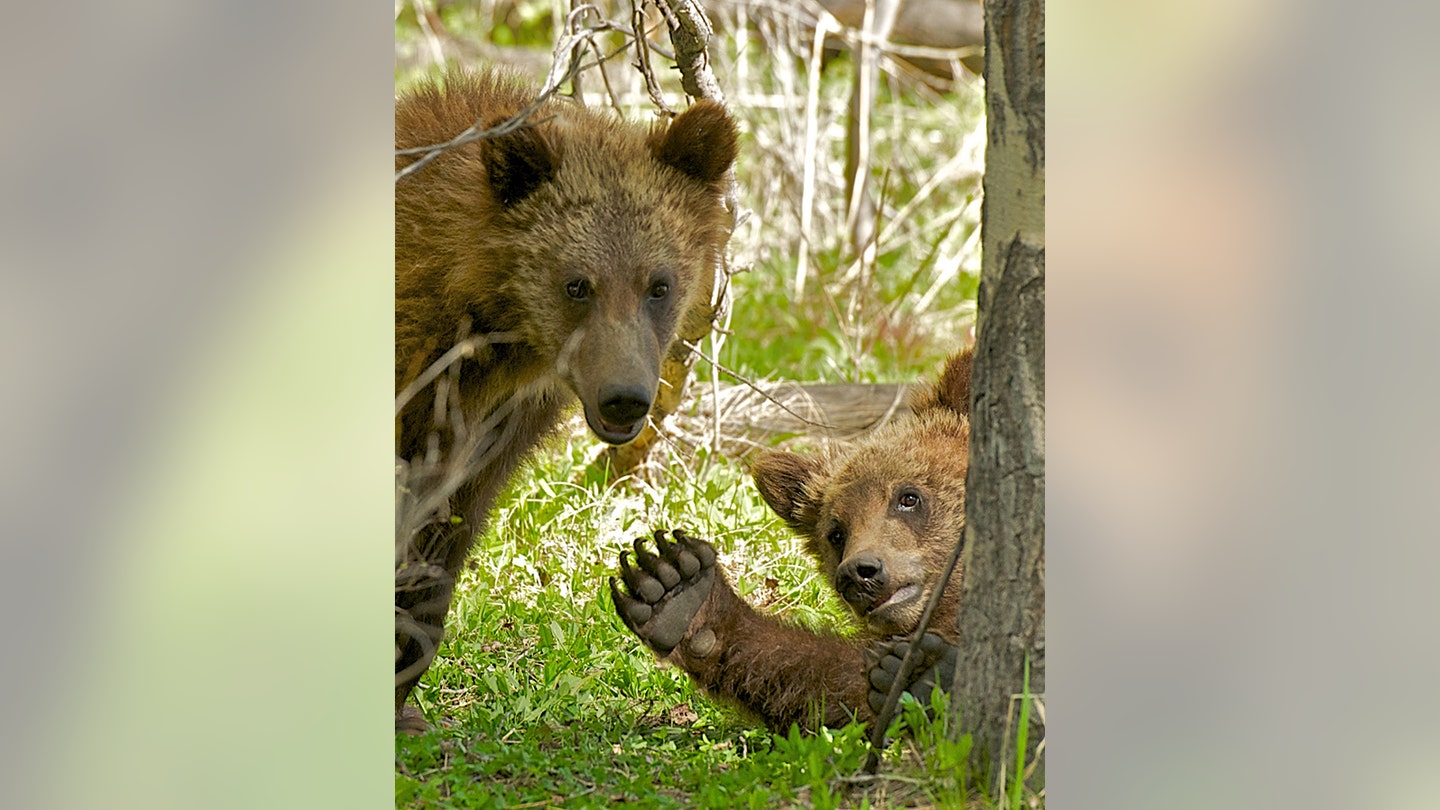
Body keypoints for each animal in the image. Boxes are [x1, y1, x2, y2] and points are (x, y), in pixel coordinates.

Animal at [607, 347, 967, 726]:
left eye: (908, 497)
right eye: (836, 533)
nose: (860, 572)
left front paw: (926, 673)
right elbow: (839, 689)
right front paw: (679, 593)